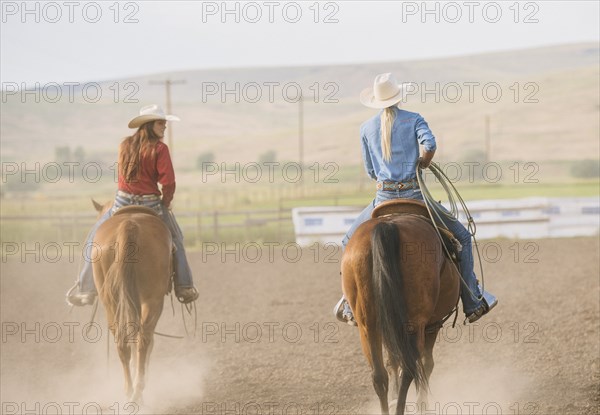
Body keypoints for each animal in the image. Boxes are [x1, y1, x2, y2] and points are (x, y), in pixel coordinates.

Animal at [91, 201, 172, 404]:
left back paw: (129, 392)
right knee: (144, 340)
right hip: (152, 301)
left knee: (123, 343)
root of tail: (129, 226)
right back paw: (138, 391)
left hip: (111, 304)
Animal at [340, 200, 462, 414]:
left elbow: (393, 361)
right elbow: (427, 362)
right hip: (414, 324)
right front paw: (422, 404)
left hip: (369, 326)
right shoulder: (432, 325)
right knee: (409, 370)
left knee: (379, 375)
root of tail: (386, 226)